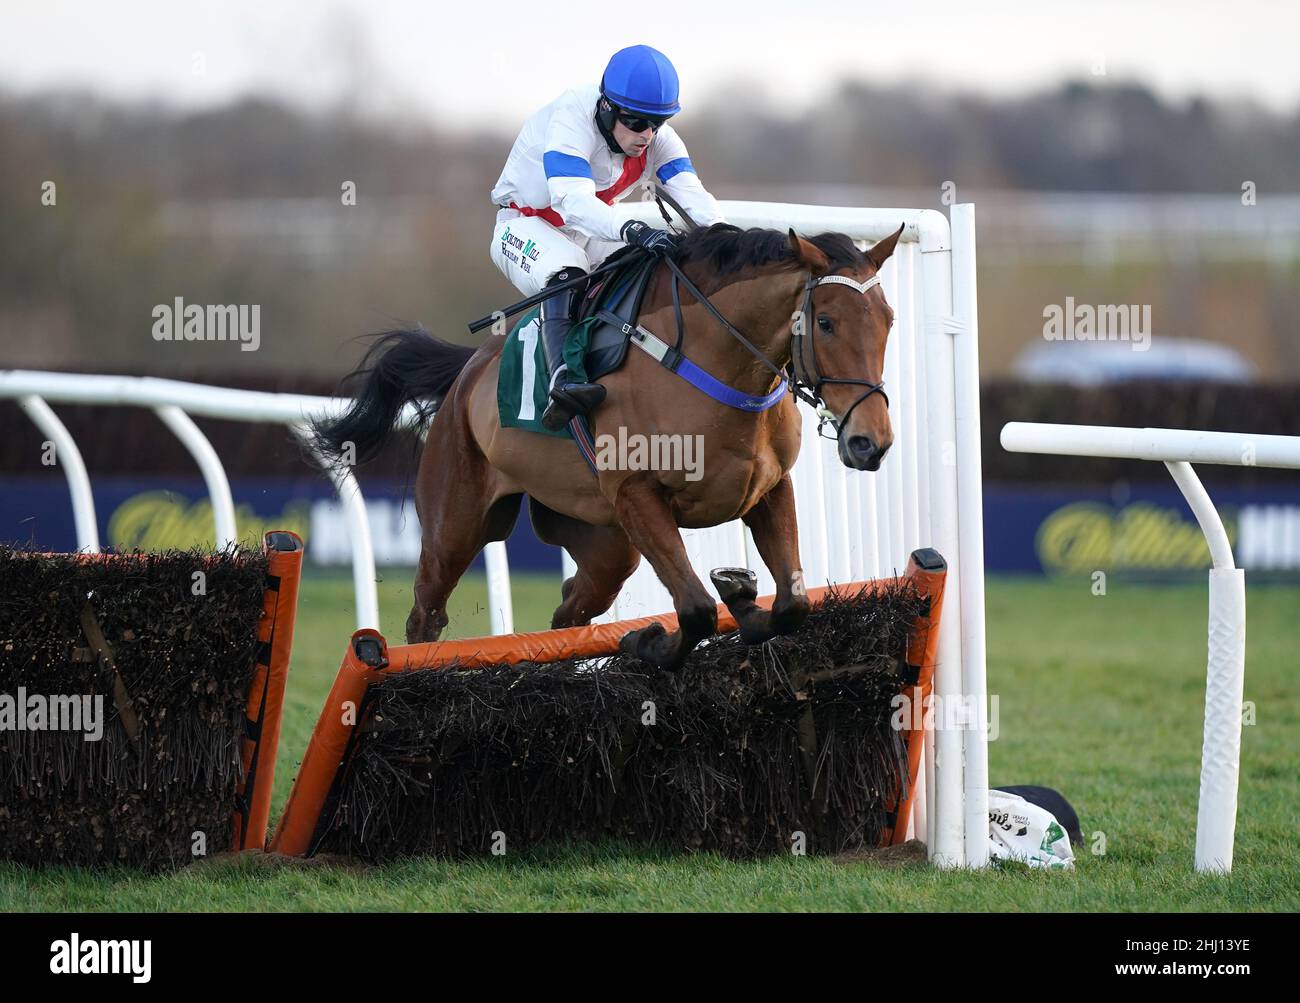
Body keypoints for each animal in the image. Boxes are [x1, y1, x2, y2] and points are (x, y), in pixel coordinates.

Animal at [312, 223, 904, 670]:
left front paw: (739, 593)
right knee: (426, 615)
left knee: (569, 612)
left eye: (889, 320)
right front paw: (648, 640)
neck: (716, 366)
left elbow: (792, 604)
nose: (869, 442)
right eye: (825, 322)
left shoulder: (768, 490)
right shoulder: (637, 495)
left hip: (605, 545)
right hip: (454, 525)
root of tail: (466, 373)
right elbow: (694, 609)